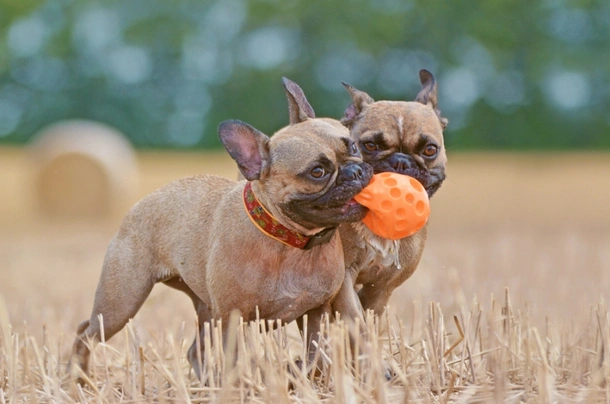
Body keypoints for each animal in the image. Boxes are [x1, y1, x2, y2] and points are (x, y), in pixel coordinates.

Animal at [66, 77, 370, 380]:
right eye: (317, 172)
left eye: (354, 148)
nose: (356, 171)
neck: (289, 240)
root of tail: (141, 202)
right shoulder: (233, 318)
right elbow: (237, 361)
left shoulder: (316, 312)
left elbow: (316, 355)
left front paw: (298, 372)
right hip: (122, 302)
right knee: (86, 332)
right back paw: (77, 378)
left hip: (206, 310)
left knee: (195, 350)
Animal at [338, 70, 446, 318]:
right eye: (370, 145)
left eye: (430, 149)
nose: (400, 161)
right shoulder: (344, 277)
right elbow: (352, 315)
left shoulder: (383, 286)